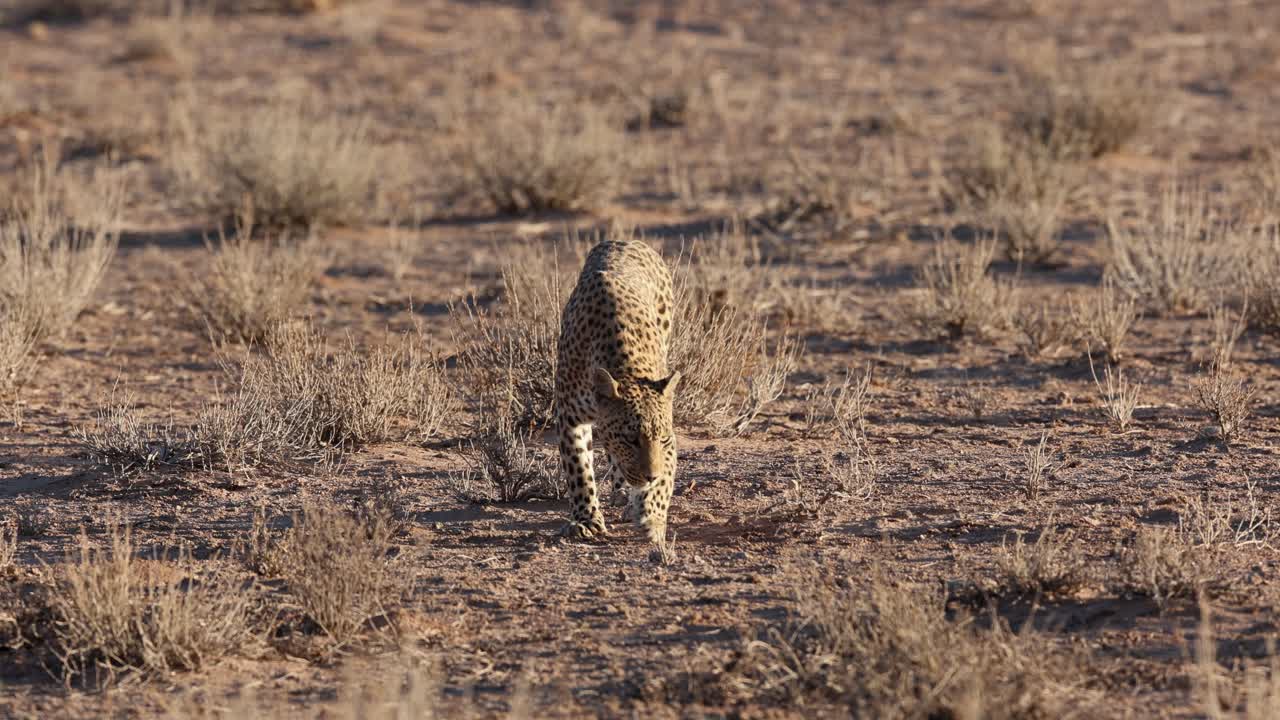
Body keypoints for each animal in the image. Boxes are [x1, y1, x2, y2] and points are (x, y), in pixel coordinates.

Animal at [554, 237, 681, 544]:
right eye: (630, 439)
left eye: (663, 439)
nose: (650, 476)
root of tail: (626, 240)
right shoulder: (569, 417)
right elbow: (579, 469)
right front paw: (586, 520)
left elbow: (666, 480)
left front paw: (652, 515)